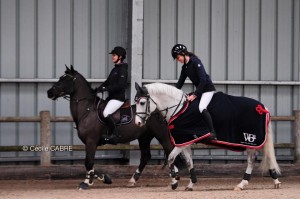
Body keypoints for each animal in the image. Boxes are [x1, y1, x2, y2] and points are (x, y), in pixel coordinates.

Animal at [47, 65, 183, 190]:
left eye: (66, 79)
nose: (49, 92)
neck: (87, 110)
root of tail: (162, 110)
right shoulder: (89, 143)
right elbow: (90, 165)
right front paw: (101, 178)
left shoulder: (91, 141)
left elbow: (88, 162)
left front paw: (87, 183)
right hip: (144, 137)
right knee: (146, 156)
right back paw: (133, 180)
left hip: (161, 135)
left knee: (170, 151)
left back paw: (174, 180)